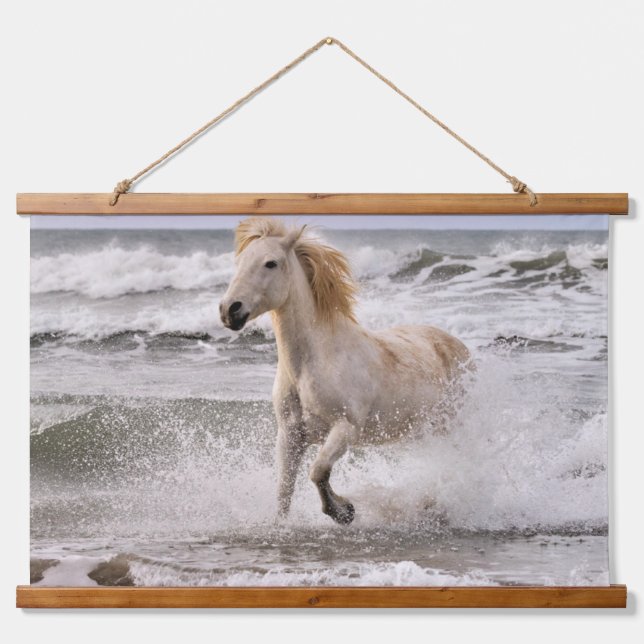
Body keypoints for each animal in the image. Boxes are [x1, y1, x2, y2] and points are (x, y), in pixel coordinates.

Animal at [219, 217, 471, 525]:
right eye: (240, 262)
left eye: (271, 263)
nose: (229, 310)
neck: (312, 364)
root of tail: (457, 345)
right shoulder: (290, 436)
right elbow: (285, 489)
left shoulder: (345, 429)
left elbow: (318, 471)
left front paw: (343, 511)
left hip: (451, 424)